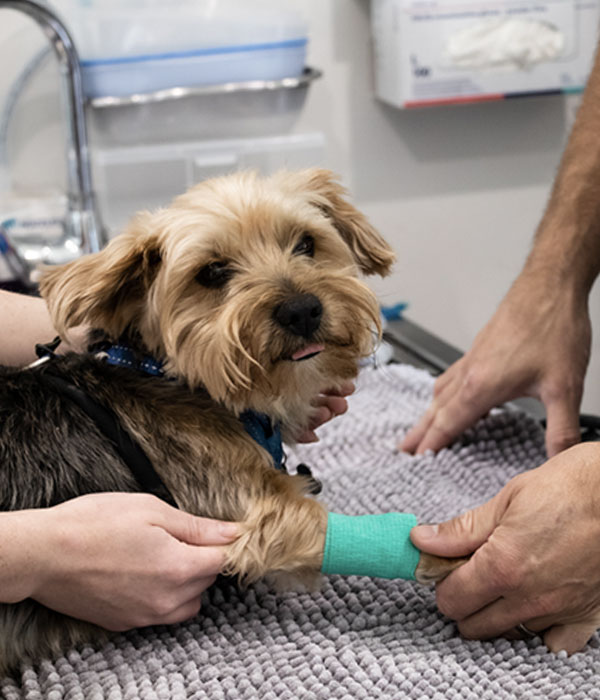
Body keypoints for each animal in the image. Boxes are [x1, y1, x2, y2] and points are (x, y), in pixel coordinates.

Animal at [0, 169, 461, 673]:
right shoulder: (259, 514)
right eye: (212, 273)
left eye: (306, 244)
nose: (302, 309)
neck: (167, 374)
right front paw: (464, 553)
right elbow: (384, 540)